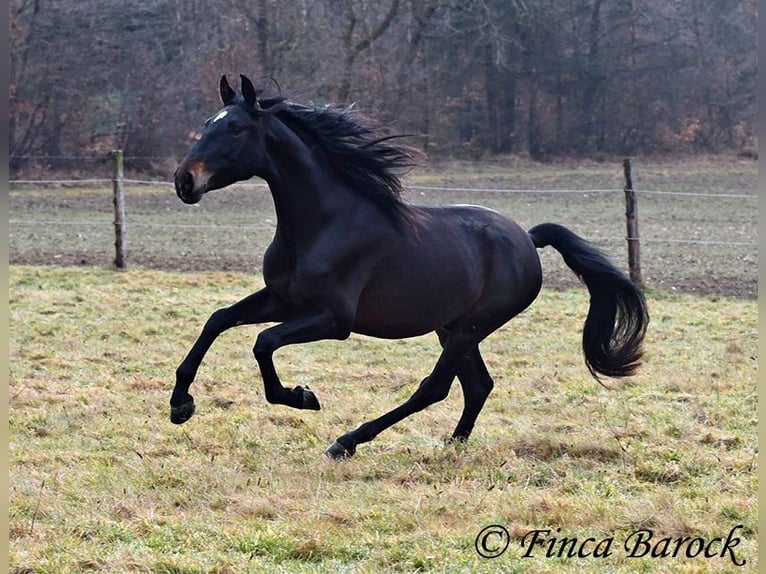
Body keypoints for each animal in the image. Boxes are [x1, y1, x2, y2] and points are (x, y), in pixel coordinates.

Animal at [171, 75, 652, 460]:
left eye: (235, 128)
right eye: (209, 122)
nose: (184, 181)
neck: (321, 224)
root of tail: (527, 239)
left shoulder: (332, 319)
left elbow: (263, 343)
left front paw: (301, 396)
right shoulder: (281, 299)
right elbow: (219, 320)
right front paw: (180, 405)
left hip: (471, 326)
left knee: (435, 387)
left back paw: (347, 442)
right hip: (451, 325)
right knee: (477, 385)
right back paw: (453, 445)